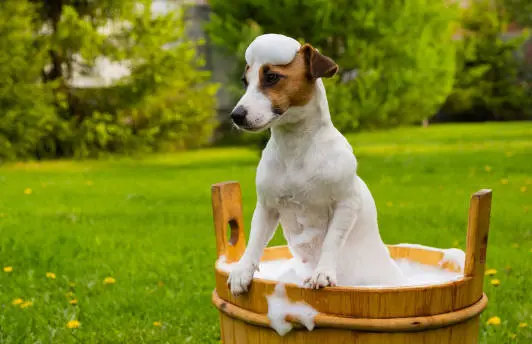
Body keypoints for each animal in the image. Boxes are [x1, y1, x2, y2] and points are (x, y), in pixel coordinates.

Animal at [227, 33, 406, 296]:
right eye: (244, 81)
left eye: (271, 77)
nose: (236, 115)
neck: (295, 148)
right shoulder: (267, 206)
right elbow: (255, 239)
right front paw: (242, 270)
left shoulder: (345, 204)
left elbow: (332, 241)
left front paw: (324, 273)